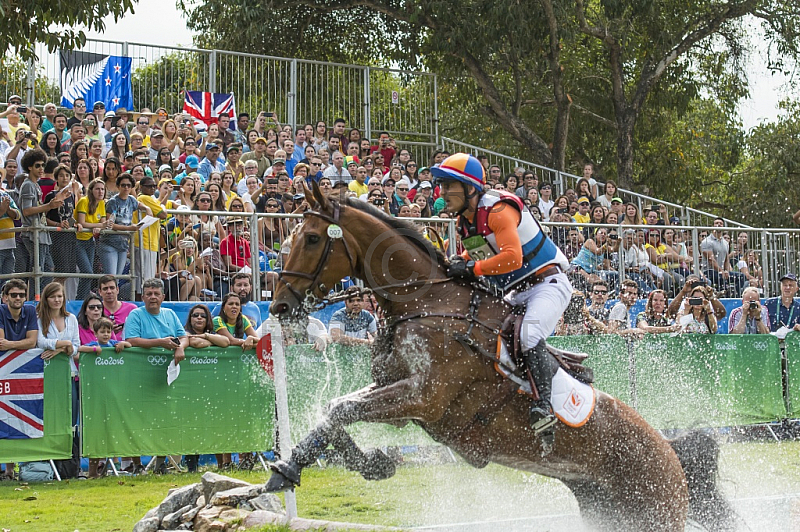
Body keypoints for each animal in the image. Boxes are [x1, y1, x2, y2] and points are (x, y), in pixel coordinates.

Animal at [266, 184, 736, 532]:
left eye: (311, 239)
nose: (279, 306)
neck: (425, 300)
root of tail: (671, 453)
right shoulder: (399, 394)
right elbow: (335, 410)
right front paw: (354, 464)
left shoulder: (422, 397)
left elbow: (342, 409)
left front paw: (298, 469)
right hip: (605, 510)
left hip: (651, 512)